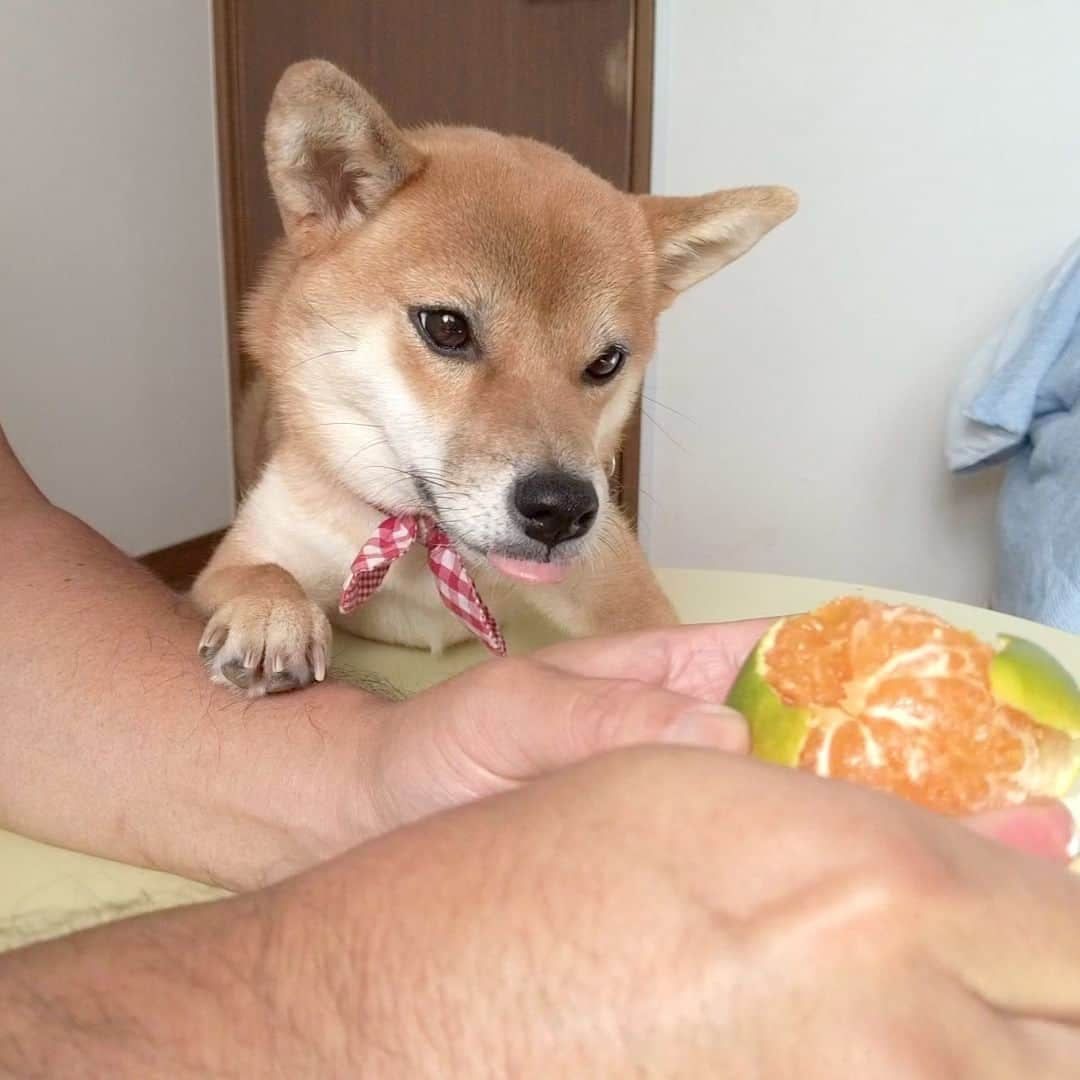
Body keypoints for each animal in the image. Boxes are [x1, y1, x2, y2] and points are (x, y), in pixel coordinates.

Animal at [192, 59, 794, 695]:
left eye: (607, 361)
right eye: (447, 327)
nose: (563, 509)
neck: (431, 548)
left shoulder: (615, 582)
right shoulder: (239, 557)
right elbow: (258, 572)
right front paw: (271, 615)